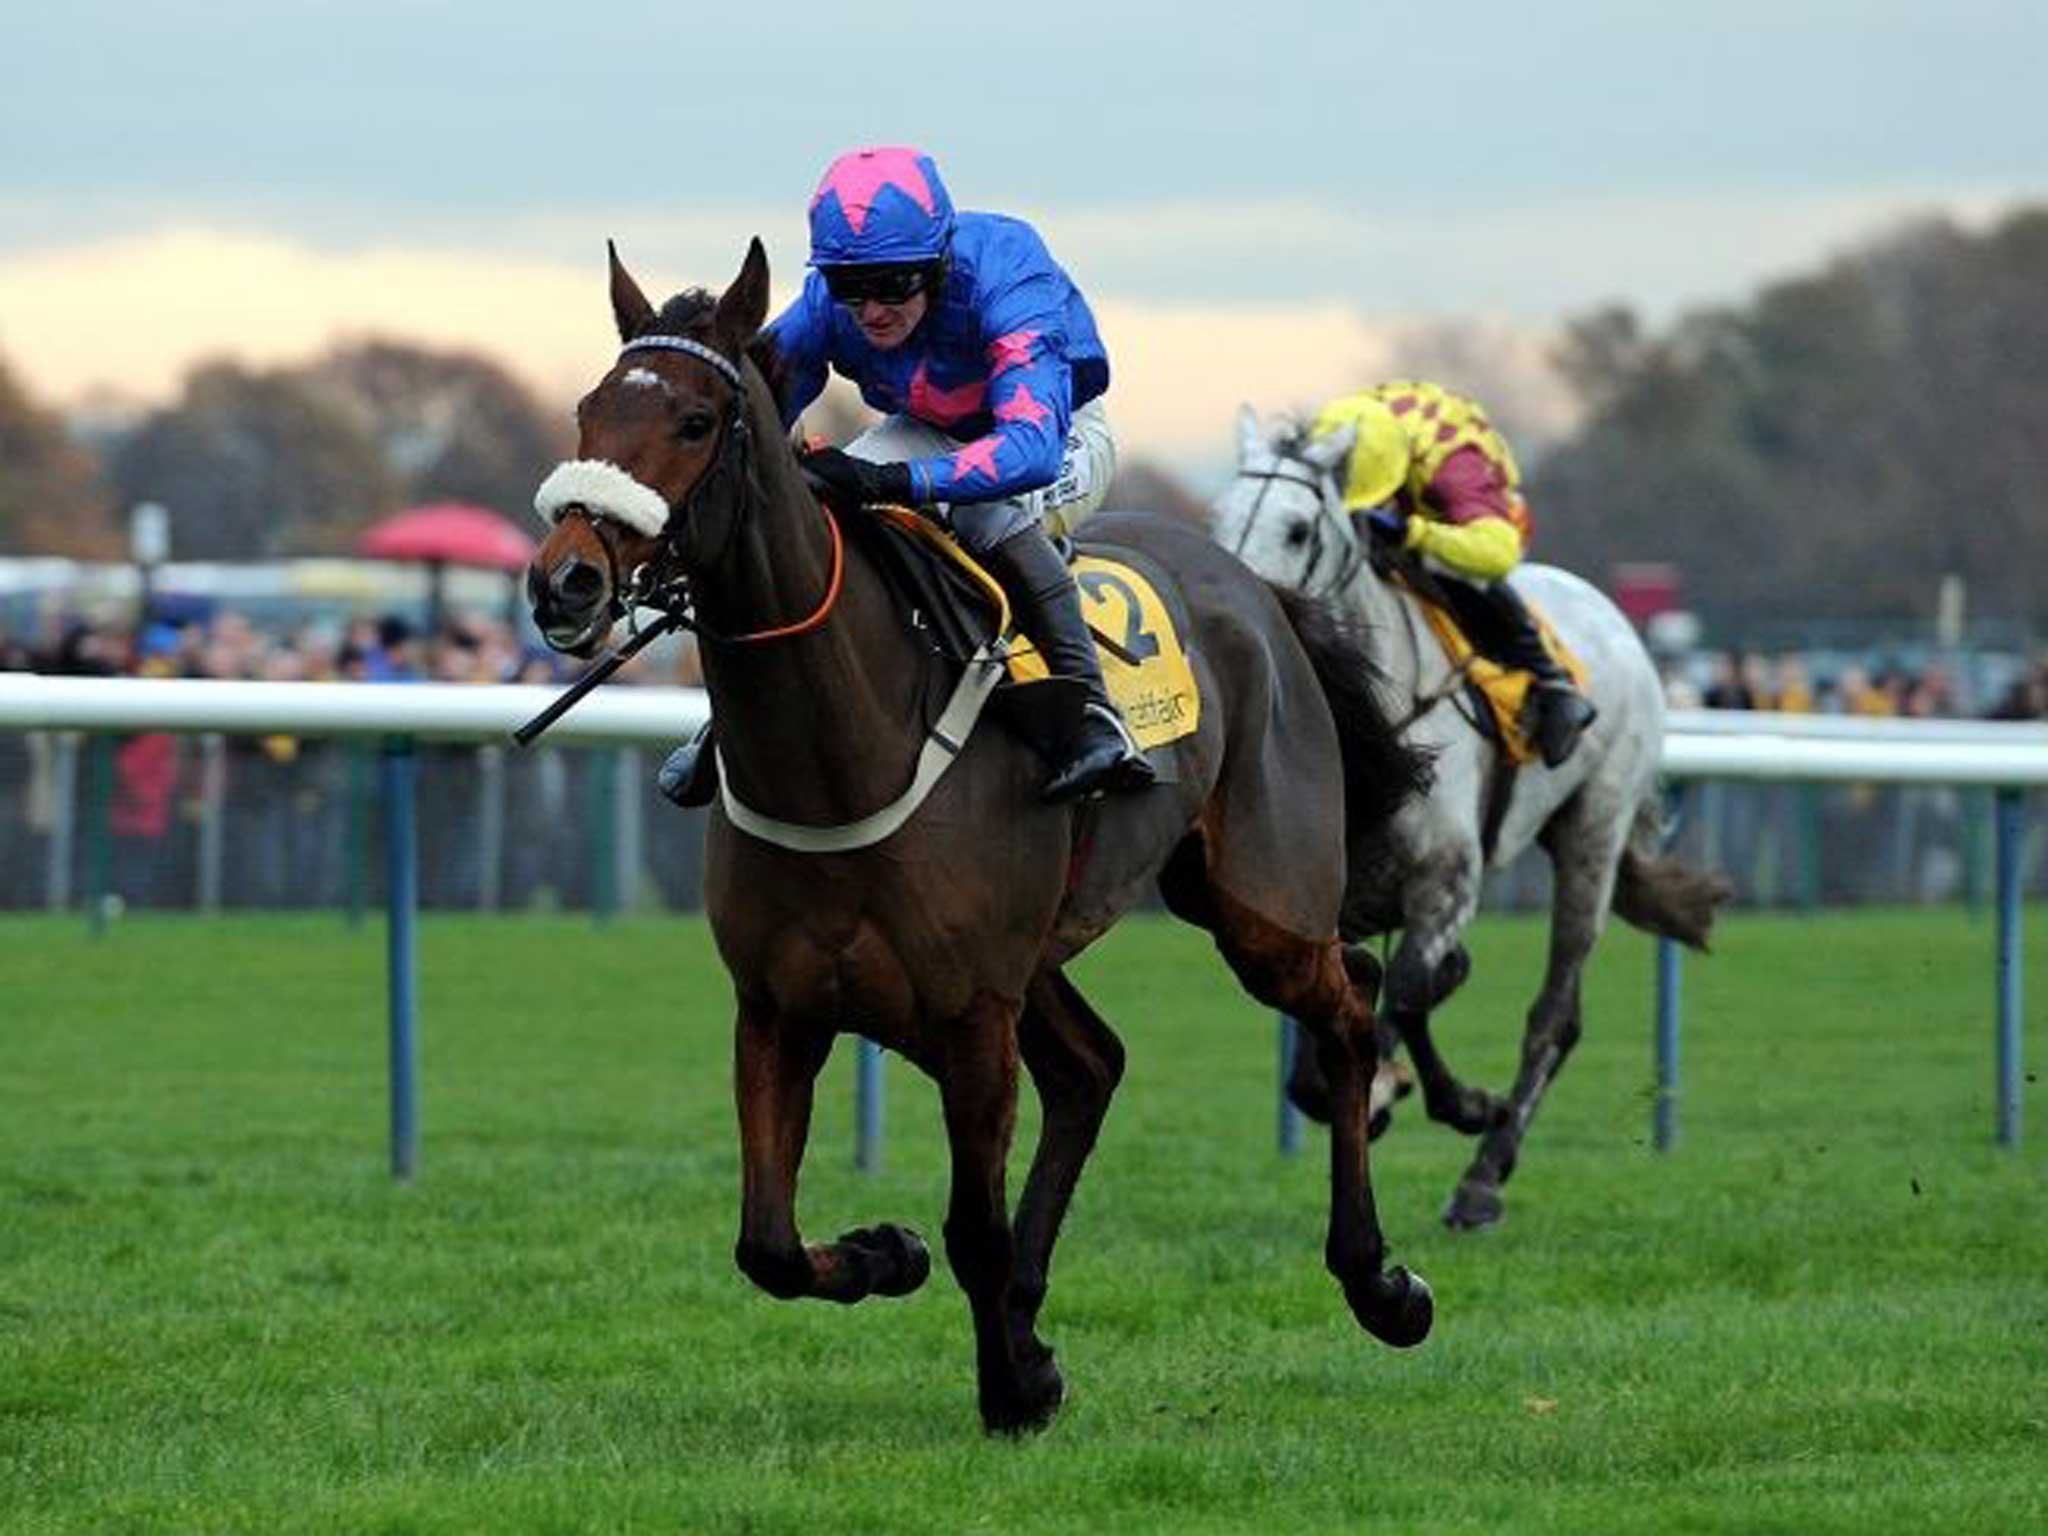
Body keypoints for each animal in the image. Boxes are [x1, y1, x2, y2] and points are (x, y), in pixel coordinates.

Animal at [528, 237, 1441, 1433]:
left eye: (692, 420)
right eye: (589, 410)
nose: (564, 580)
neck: (840, 748)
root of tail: (1257, 588)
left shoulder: (968, 1014)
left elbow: (972, 1225)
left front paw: (1006, 1385)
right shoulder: (779, 1006)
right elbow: (768, 1242)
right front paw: (897, 1262)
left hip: (1258, 907)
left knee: (1349, 1004)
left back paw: (1378, 1282)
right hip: (1038, 957)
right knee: (1093, 1068)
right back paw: (1030, 1316)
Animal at [1212, 405, 1728, 1228]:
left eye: (1297, 529)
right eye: (1219, 516)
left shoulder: (1445, 880)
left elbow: (1397, 1002)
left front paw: (1430, 1100)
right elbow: (1345, 1034)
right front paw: (1420, 1093)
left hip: (1593, 831)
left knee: (1554, 1014)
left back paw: (1484, 1176)